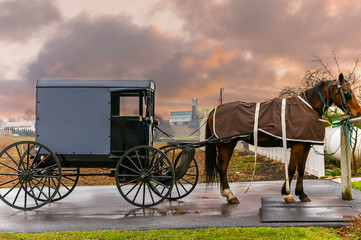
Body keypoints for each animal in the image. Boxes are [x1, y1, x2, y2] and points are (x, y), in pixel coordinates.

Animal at [204, 72, 360, 202]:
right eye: (347, 93)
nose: (358, 112)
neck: (307, 107)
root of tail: (214, 110)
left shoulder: (305, 145)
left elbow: (301, 169)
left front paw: (301, 193)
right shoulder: (297, 145)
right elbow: (291, 168)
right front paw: (287, 193)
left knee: (222, 167)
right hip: (226, 144)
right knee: (222, 167)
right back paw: (230, 195)